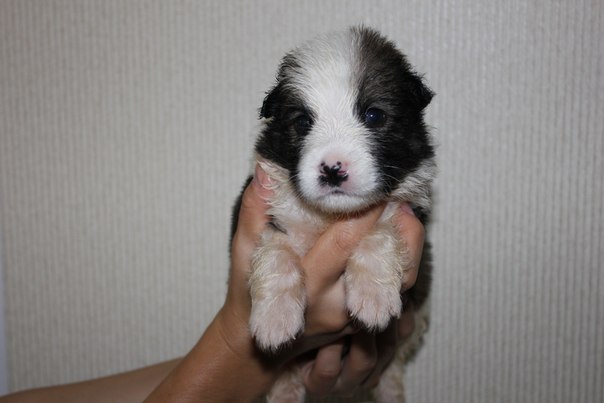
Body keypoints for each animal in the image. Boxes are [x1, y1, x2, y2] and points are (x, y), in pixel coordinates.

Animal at [233, 26, 435, 402]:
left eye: (373, 115)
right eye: (302, 122)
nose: (332, 169)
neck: (330, 218)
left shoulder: (407, 212)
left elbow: (380, 233)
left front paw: (373, 297)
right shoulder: (270, 212)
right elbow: (276, 254)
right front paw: (274, 319)